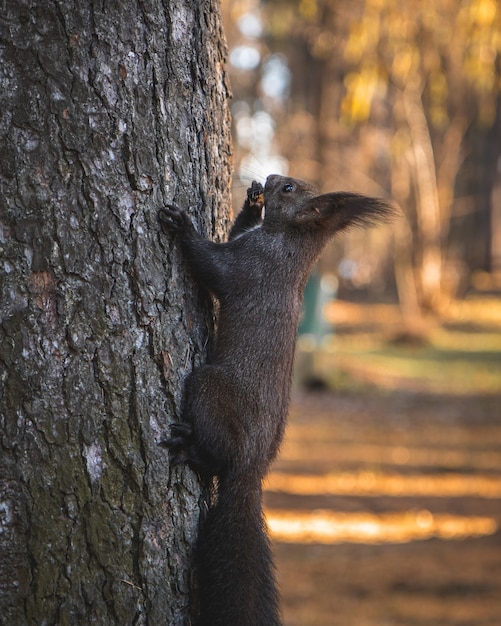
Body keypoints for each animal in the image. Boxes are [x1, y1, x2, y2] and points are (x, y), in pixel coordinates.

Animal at [158, 174, 392, 624]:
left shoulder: (249, 265)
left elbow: (211, 264)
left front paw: (182, 226)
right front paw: (250, 203)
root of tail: (252, 468)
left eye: (289, 190)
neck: (289, 243)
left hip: (208, 388)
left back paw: (190, 448)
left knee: (216, 456)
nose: (267, 179)